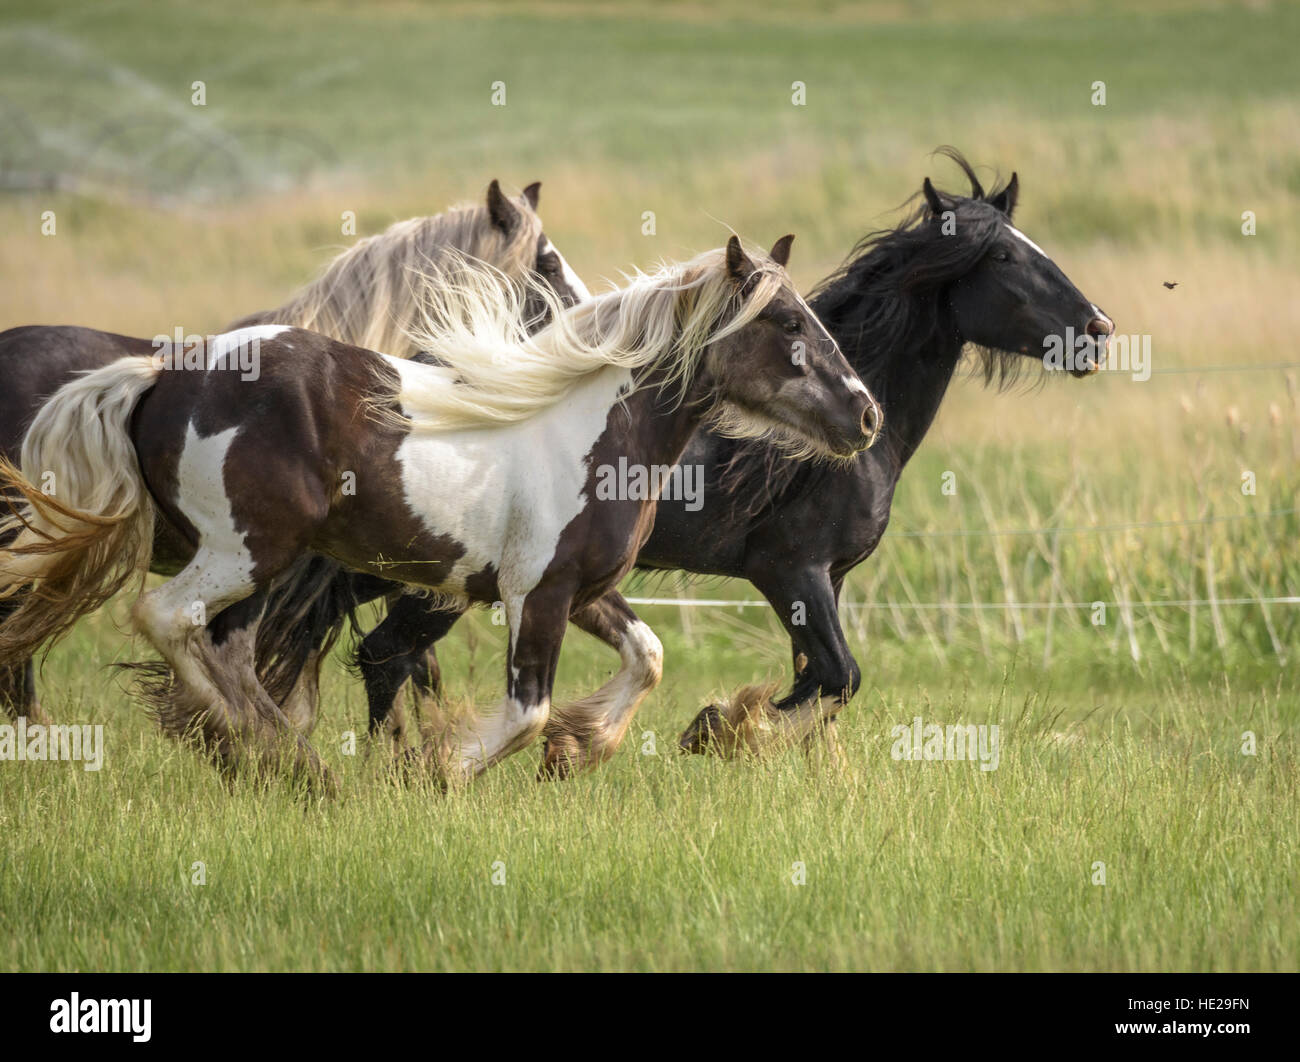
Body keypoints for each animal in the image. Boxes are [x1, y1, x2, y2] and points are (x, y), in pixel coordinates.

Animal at [0, 237, 882, 788]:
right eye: (789, 322)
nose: (865, 414)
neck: (590, 429)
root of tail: (161, 374)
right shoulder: (538, 594)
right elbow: (525, 710)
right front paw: (439, 770)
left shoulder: (582, 590)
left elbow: (649, 656)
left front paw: (581, 748)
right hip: (241, 551)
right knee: (167, 619)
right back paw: (273, 754)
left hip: (258, 567)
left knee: (231, 651)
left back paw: (285, 761)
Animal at [343, 150, 1115, 766]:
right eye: (1006, 257)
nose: (1098, 331)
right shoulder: (790, 570)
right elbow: (839, 677)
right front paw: (718, 730)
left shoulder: (826, 582)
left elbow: (819, 682)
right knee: (382, 655)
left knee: (385, 656)